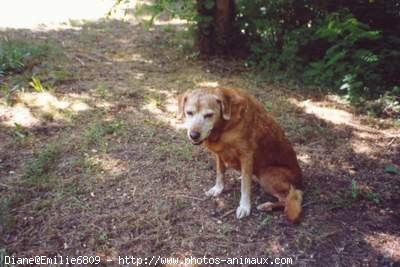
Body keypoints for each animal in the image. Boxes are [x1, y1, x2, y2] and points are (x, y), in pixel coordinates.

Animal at [178, 87, 304, 222]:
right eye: (189, 113)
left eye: (209, 115)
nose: (194, 135)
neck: (224, 127)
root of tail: (300, 182)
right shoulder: (219, 154)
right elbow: (220, 173)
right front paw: (218, 189)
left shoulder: (246, 156)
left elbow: (245, 186)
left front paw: (244, 207)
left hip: (267, 175)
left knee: (289, 199)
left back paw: (267, 205)